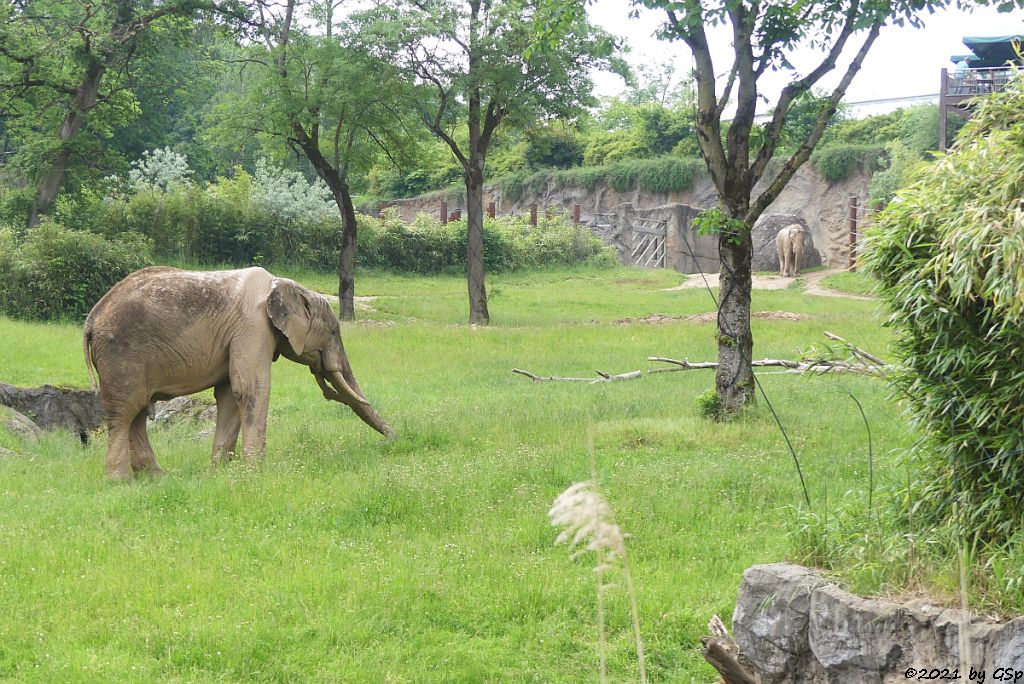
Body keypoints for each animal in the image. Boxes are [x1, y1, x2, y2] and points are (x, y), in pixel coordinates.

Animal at [83, 266, 393, 481]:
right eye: (332, 331)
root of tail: (91, 319)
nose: (396, 438)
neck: (285, 285)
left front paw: (222, 473)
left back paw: (158, 478)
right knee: (124, 411)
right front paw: (256, 472)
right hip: (121, 354)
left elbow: (230, 395)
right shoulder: (253, 327)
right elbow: (251, 387)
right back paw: (120, 481)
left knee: (135, 414)